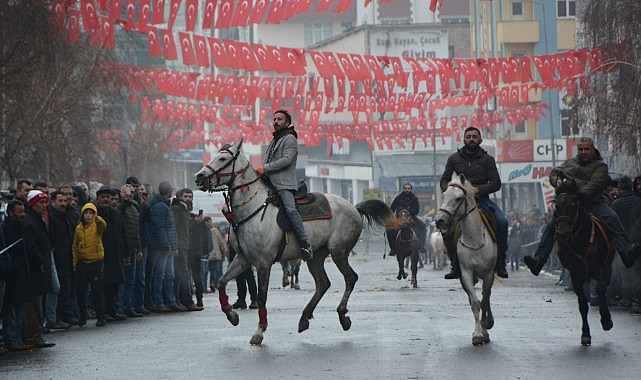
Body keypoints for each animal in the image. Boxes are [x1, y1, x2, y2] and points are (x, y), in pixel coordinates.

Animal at [192, 140, 398, 344]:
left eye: (222, 159)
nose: (198, 177)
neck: (253, 210)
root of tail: (353, 207)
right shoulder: (243, 258)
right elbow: (221, 281)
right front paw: (232, 315)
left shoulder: (263, 263)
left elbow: (262, 296)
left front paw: (259, 331)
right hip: (315, 257)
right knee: (323, 284)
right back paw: (304, 318)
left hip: (339, 252)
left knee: (350, 278)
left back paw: (343, 316)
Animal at [432, 174, 498, 346]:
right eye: (444, 195)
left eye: (458, 198)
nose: (439, 220)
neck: (474, 239)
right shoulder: (466, 272)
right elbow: (475, 303)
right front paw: (477, 334)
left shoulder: (489, 273)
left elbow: (485, 300)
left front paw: (485, 329)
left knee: (487, 297)